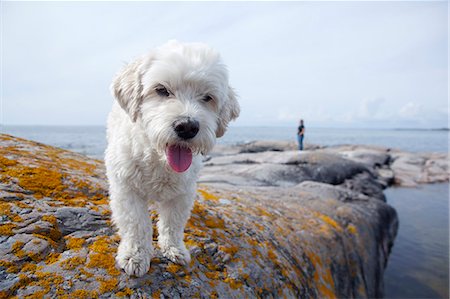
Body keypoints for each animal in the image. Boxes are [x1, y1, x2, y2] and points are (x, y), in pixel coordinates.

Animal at [104, 41, 239, 278]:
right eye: (161, 90)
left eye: (207, 97)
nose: (187, 126)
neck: (159, 161)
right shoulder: (126, 188)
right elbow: (136, 224)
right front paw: (135, 255)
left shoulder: (182, 193)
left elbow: (173, 223)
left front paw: (174, 248)